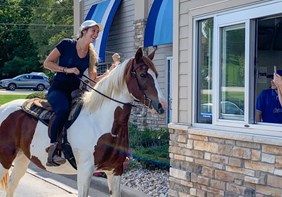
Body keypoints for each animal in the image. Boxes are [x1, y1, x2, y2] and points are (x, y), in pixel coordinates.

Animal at [0, 48, 165, 197]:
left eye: (156, 74)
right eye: (143, 74)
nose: (162, 105)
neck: (99, 122)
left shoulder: (115, 171)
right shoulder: (85, 170)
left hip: (22, 158)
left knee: (12, 185)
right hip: (5, 158)